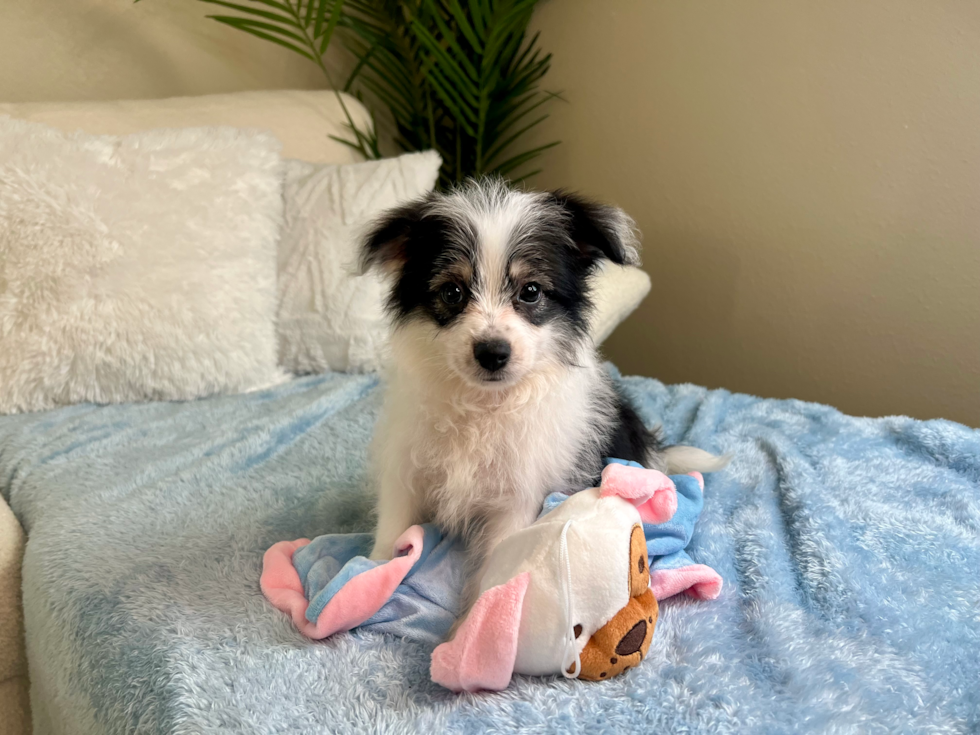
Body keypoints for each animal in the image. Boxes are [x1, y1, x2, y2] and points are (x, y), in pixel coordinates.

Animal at [360, 180, 728, 604]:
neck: (484, 405)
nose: (492, 353)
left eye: (531, 291)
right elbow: (392, 531)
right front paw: (367, 577)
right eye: (452, 293)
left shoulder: (519, 496)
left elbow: (497, 569)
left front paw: (475, 620)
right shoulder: (406, 468)